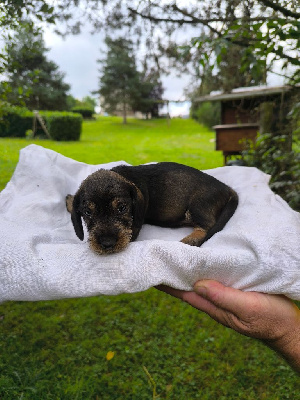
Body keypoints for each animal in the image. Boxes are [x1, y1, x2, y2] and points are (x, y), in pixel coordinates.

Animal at [66, 162, 239, 253]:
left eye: (122, 208)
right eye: (88, 212)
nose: (107, 244)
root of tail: (226, 188)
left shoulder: (133, 230)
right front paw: (69, 201)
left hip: (197, 205)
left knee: (207, 226)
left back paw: (188, 241)